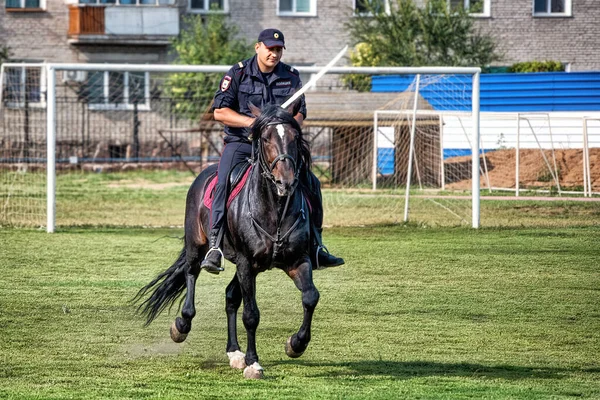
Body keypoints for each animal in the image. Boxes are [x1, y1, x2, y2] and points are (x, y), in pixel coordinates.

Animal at [136, 102, 322, 378]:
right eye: (265, 138)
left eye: (295, 138)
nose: (285, 181)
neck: (275, 211)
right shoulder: (246, 263)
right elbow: (251, 315)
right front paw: (254, 363)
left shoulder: (297, 260)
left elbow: (310, 297)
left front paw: (296, 344)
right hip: (197, 247)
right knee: (191, 275)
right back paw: (182, 324)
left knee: (230, 296)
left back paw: (234, 352)